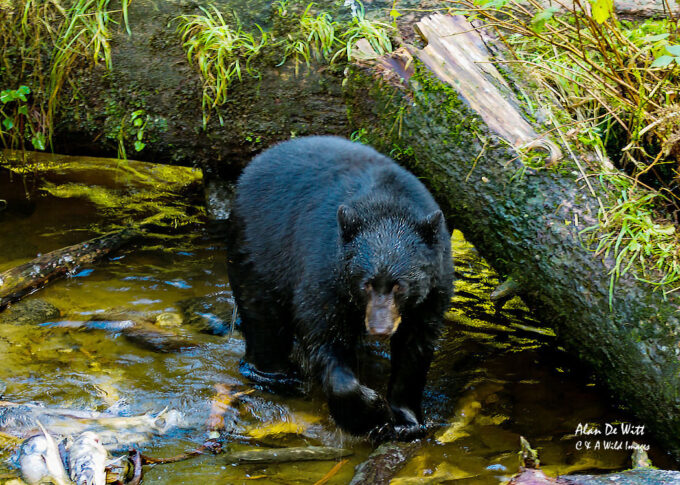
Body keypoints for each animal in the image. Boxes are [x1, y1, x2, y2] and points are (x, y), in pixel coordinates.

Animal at [225, 136, 454, 440]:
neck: (386, 205)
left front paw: (406, 421)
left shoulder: (433, 291)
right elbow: (324, 335)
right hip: (259, 251)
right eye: (366, 283)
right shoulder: (325, 270)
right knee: (263, 319)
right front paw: (369, 412)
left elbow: (414, 348)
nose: (380, 328)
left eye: (399, 286)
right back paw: (278, 375)